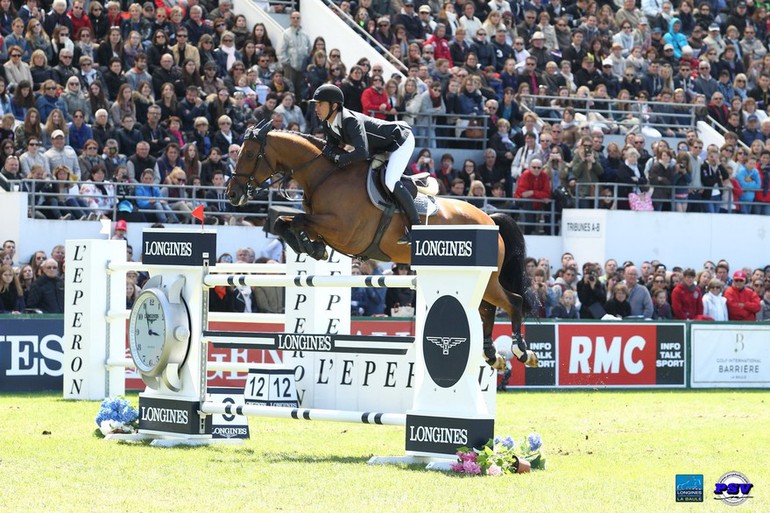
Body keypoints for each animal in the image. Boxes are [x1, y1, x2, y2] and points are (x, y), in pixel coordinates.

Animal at [226, 124, 536, 372]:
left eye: (250, 155)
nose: (232, 194)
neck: (324, 176)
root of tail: (489, 219)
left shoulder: (343, 230)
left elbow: (296, 220)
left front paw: (311, 247)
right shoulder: (328, 228)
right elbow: (284, 222)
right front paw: (310, 246)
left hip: (486, 278)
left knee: (512, 302)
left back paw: (521, 350)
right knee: (487, 308)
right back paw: (492, 355)